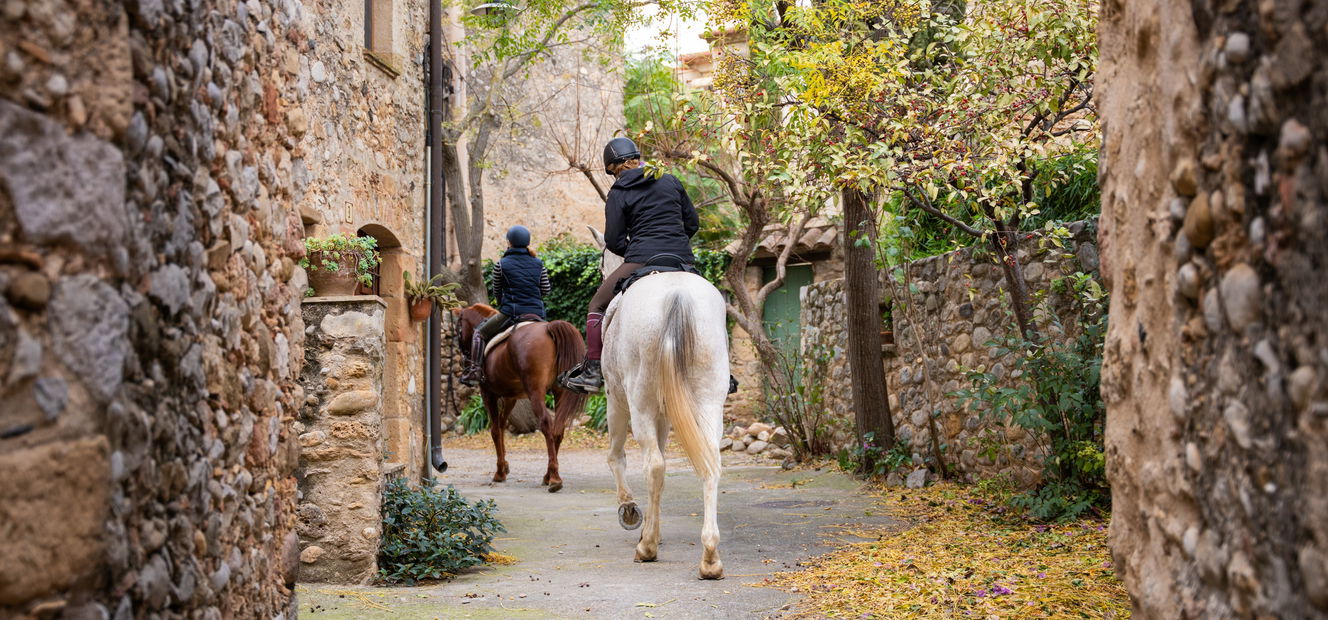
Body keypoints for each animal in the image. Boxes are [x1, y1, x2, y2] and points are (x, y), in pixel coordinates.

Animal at [451, 304, 587, 492]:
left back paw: (554, 478)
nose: (464, 362)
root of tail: (549, 328)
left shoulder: (488, 394)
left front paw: (500, 472)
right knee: (557, 429)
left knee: (546, 423)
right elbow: (501, 427)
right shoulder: (511, 398)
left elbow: (495, 430)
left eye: (458, 330)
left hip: (535, 392)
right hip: (560, 392)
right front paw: (505, 466)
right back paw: (548, 475)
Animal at [588, 227, 729, 580]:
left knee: (653, 466)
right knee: (710, 464)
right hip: (708, 402)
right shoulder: (665, 415)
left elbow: (616, 456)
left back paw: (647, 547)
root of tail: (676, 296)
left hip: (639, 404)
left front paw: (630, 512)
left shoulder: (616, 399)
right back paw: (710, 558)